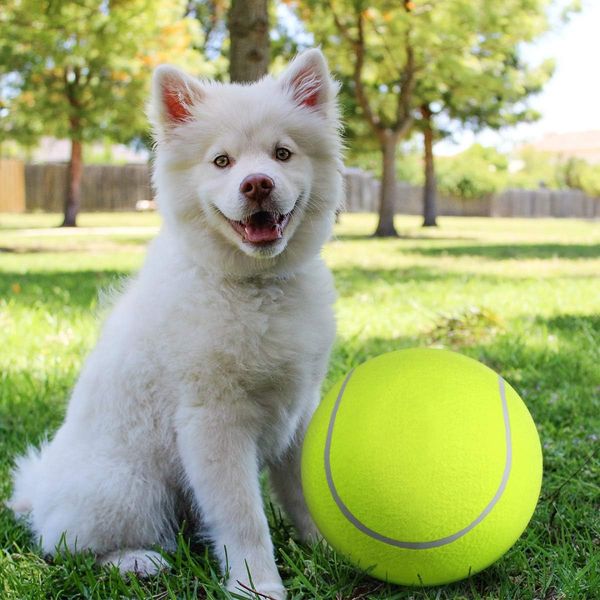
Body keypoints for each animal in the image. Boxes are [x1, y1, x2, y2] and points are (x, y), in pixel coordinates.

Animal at [10, 49, 342, 596]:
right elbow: (243, 517)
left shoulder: (299, 411)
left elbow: (302, 492)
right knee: (68, 546)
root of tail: (36, 495)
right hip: (131, 489)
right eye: (222, 161)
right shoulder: (213, 422)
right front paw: (257, 584)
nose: (257, 184)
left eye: (282, 154)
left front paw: (331, 551)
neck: (255, 287)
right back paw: (137, 561)